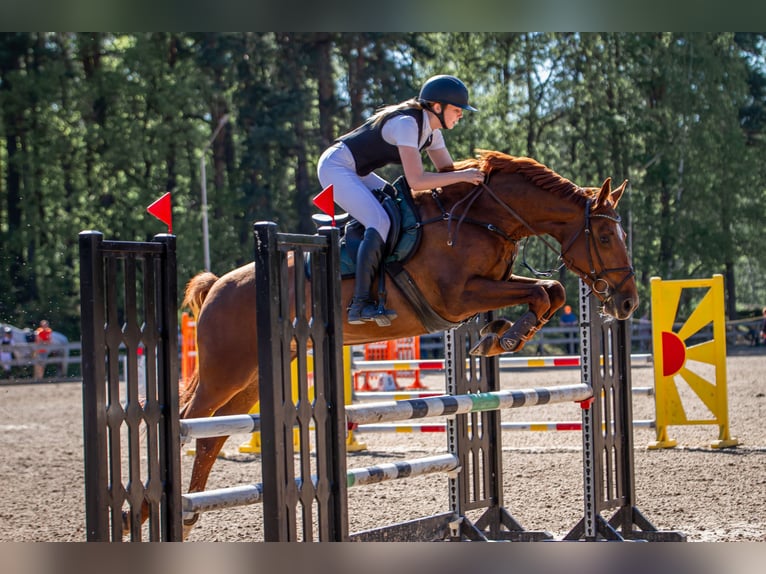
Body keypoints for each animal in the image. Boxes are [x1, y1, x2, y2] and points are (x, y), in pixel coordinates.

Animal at [165, 148, 640, 536]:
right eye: (603, 237)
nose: (627, 302)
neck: (482, 216)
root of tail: (218, 285)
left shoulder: (488, 288)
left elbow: (551, 292)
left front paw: (499, 334)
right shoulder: (458, 297)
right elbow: (544, 292)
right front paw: (505, 336)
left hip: (251, 379)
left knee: (211, 436)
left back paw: (190, 515)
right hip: (225, 371)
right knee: (190, 421)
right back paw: (159, 515)